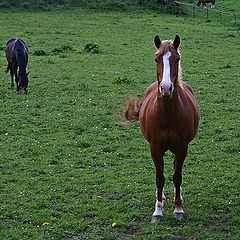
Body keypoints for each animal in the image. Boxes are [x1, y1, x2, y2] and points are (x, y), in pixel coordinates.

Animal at [124, 34, 201, 222]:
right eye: (156, 58)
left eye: (177, 58)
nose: (166, 88)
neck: (167, 114)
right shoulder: (155, 148)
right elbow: (160, 178)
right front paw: (158, 210)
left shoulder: (182, 147)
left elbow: (177, 176)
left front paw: (178, 208)